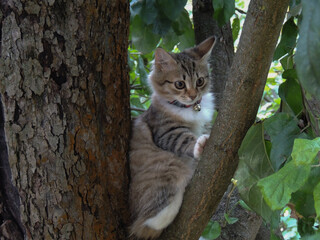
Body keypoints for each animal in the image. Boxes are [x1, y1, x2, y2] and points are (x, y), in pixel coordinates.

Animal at [129, 35, 216, 238]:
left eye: (200, 81)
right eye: (179, 84)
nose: (193, 96)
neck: (190, 109)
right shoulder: (166, 131)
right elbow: (186, 139)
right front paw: (201, 143)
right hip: (169, 166)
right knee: (147, 220)